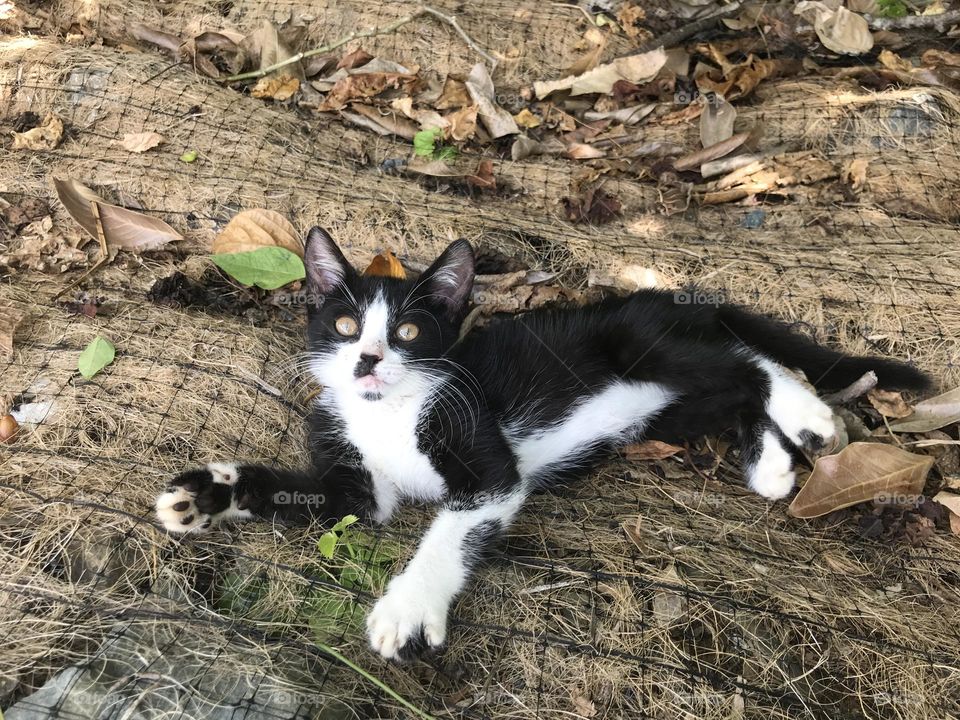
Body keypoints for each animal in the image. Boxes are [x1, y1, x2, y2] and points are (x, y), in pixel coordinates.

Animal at [154, 228, 928, 660]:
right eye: (344, 327)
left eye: (408, 332)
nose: (368, 361)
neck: (390, 414)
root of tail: (668, 297)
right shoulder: (358, 486)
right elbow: (320, 497)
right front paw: (205, 493)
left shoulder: (486, 462)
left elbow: (449, 532)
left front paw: (407, 610)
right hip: (670, 411)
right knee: (735, 387)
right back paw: (770, 463)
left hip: (648, 346)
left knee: (749, 361)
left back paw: (809, 418)